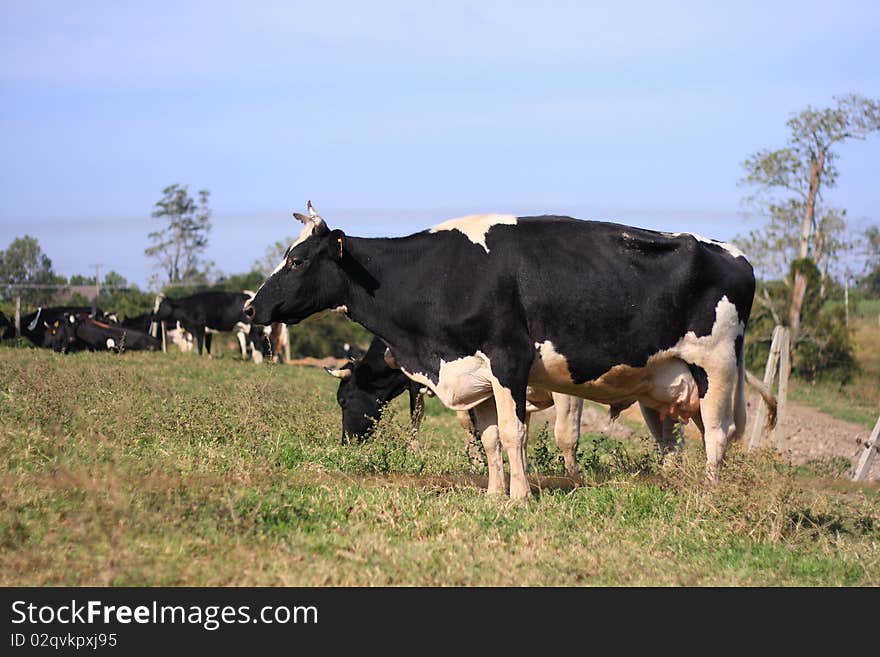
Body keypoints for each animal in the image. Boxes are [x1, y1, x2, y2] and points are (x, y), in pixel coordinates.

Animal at [244, 201, 772, 498]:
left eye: (297, 260)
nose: (251, 306)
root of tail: (734, 254)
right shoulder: (474, 375)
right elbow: (492, 438)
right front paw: (494, 495)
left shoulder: (509, 361)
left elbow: (517, 434)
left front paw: (520, 498)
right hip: (665, 381)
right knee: (676, 439)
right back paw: (672, 485)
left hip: (717, 366)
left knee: (718, 435)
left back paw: (708, 495)